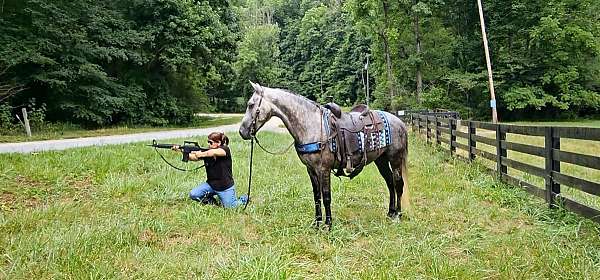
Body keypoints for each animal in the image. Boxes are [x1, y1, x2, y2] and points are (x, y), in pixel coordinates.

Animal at [239, 81, 408, 230]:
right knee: (390, 183)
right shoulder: (311, 170)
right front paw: (317, 223)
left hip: (395, 159)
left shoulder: (323, 169)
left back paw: (398, 215)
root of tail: (399, 122)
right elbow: (317, 196)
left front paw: (328, 224)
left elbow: (326, 196)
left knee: (398, 184)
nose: (242, 132)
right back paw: (390, 212)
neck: (310, 125)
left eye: (251, 104)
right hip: (381, 160)